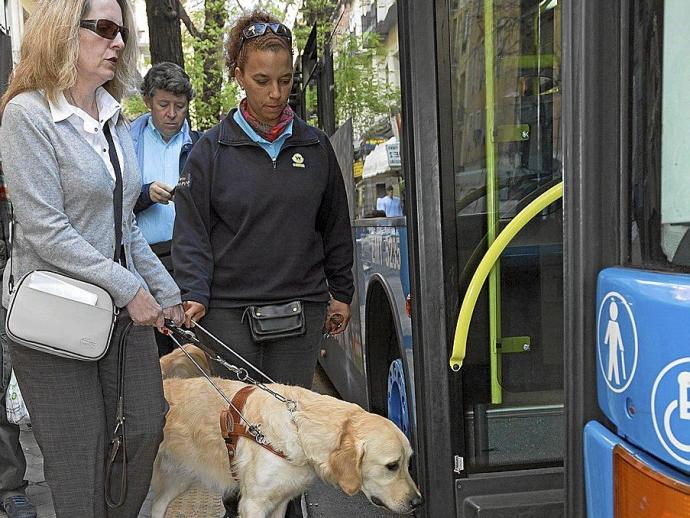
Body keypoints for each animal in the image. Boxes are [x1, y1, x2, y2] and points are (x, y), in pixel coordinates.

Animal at [152, 378, 420, 518]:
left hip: (181, 478)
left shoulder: (280, 502)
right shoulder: (253, 504)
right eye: (392, 466)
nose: (418, 502)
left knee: (157, 507)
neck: (298, 429)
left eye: (409, 462)